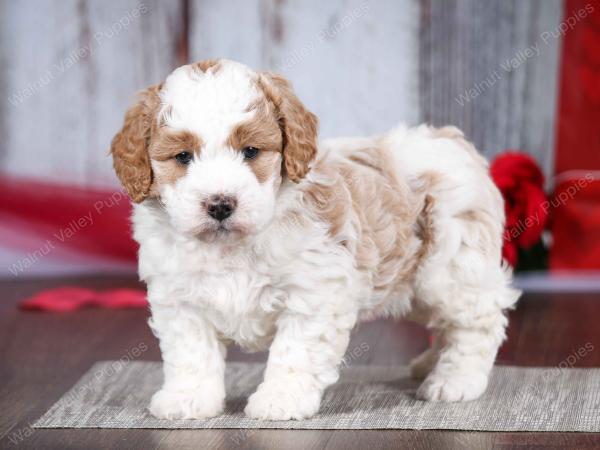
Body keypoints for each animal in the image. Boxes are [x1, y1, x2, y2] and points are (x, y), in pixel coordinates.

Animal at [110, 58, 516, 420]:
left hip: (451, 267)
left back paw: (455, 379)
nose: (221, 204)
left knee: (478, 321)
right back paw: (430, 364)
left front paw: (280, 399)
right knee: (446, 322)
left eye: (251, 151)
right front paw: (188, 399)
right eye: (182, 156)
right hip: (413, 281)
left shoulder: (313, 292)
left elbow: (295, 352)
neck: (232, 246)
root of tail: (450, 140)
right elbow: (191, 353)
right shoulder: (180, 300)